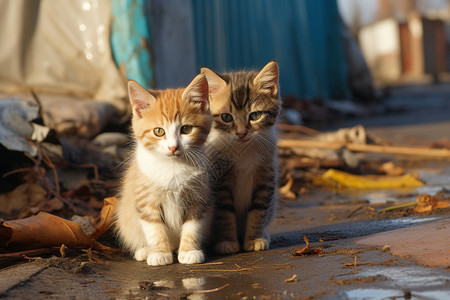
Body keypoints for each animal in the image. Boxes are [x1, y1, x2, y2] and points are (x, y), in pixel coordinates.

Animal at [116, 74, 214, 264]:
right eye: (159, 131)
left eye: (186, 129)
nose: (173, 147)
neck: (172, 166)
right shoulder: (145, 198)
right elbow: (154, 229)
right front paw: (159, 253)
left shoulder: (198, 196)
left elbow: (193, 226)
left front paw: (189, 252)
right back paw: (144, 251)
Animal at [201, 61, 282, 253]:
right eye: (226, 117)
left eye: (255, 115)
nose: (241, 133)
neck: (243, 149)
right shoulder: (220, 182)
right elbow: (224, 214)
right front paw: (227, 242)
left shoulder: (266, 178)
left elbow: (259, 211)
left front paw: (254, 238)